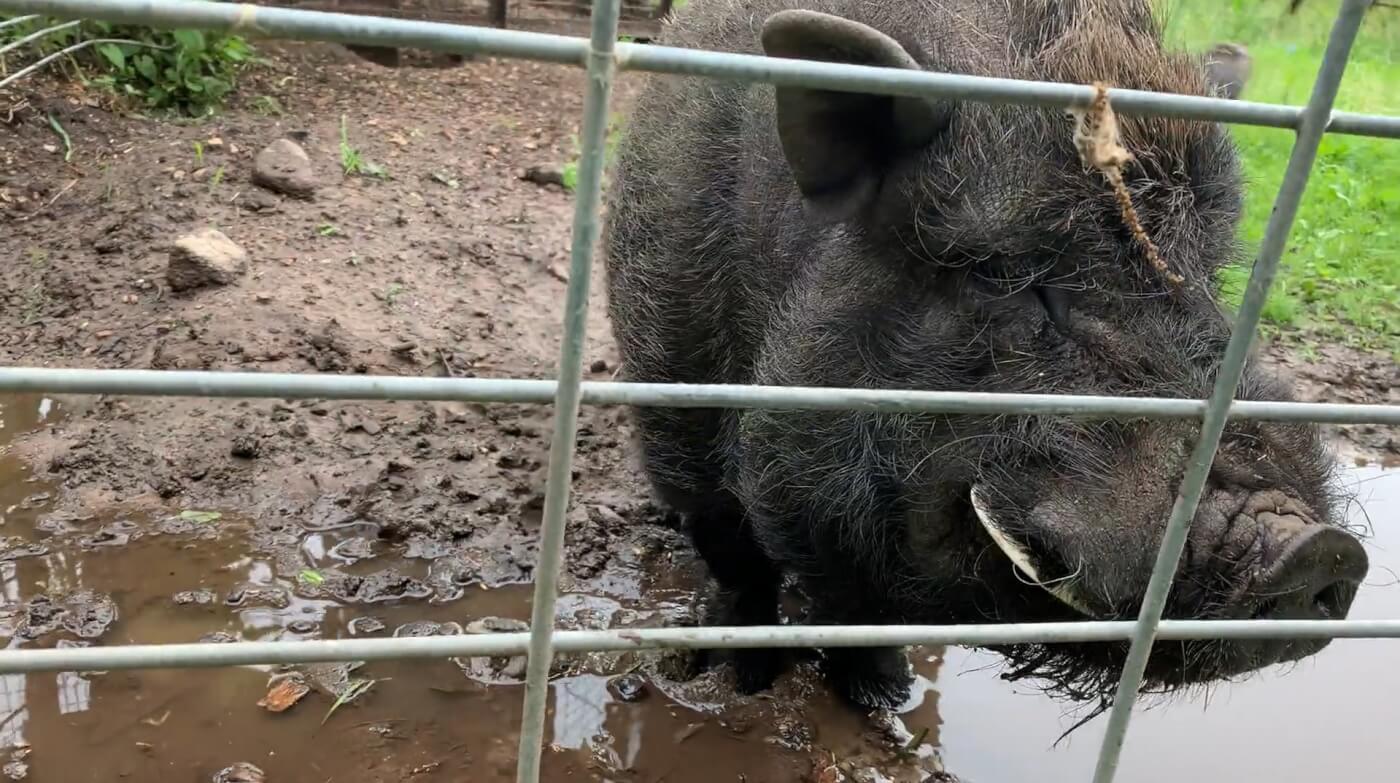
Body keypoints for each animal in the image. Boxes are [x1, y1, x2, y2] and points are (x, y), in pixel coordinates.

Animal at [602, 0, 1366, 711]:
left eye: (1209, 278)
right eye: (1006, 274)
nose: (1317, 547)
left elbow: (861, 617)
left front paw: (887, 695)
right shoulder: (675, 407)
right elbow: (737, 563)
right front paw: (737, 681)